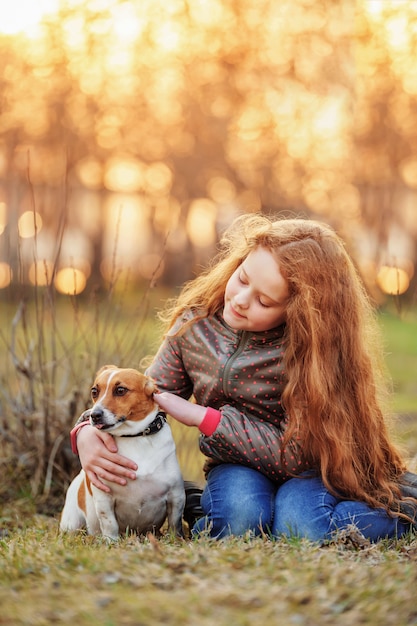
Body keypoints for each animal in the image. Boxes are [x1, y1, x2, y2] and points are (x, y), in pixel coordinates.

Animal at [59, 364, 184, 540]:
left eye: (120, 390)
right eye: (94, 391)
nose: (94, 415)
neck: (135, 437)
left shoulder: (176, 495)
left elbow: (174, 523)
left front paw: (176, 540)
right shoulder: (104, 499)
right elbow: (110, 523)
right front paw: (111, 541)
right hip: (72, 523)